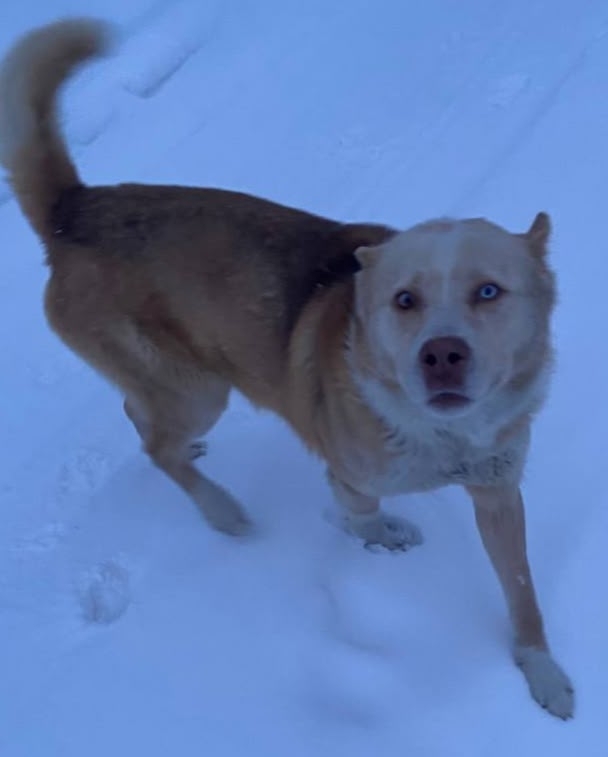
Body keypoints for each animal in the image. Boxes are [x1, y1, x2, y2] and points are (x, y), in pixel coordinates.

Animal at [0, 19, 573, 718]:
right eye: (404, 300)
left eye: (488, 292)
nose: (441, 356)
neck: (443, 439)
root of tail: (77, 208)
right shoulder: (353, 472)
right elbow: (358, 510)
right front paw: (379, 535)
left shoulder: (499, 491)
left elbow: (522, 591)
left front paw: (542, 670)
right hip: (200, 389)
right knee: (156, 447)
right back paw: (222, 511)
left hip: (176, 380)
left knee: (140, 416)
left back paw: (190, 454)